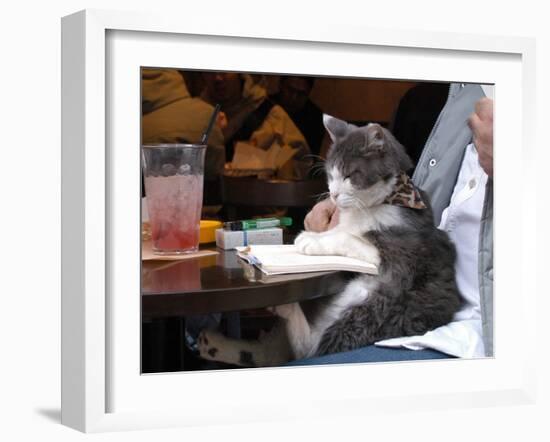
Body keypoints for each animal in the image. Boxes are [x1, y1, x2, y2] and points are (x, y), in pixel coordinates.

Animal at [196, 115, 464, 368]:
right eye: (331, 175)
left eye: (349, 175)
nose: (333, 195)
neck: (373, 205)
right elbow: (340, 230)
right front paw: (315, 234)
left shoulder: (400, 253)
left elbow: (348, 237)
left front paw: (310, 241)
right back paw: (213, 344)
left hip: (373, 306)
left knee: (311, 348)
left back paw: (284, 310)